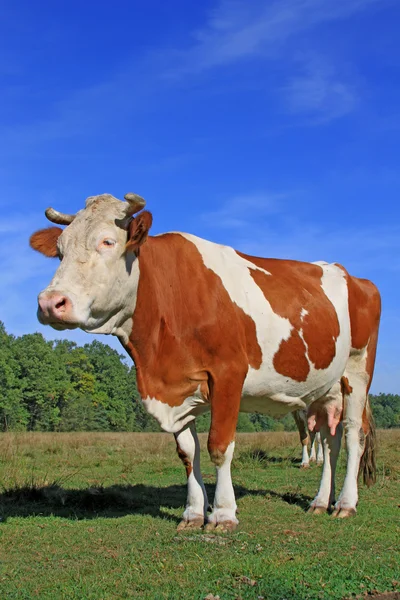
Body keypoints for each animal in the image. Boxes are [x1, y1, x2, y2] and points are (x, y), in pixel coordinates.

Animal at [29, 192, 380, 528]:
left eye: (107, 242)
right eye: (59, 251)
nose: (50, 302)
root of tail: (351, 275)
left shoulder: (229, 375)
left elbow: (219, 447)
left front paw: (223, 514)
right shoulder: (176, 386)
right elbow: (187, 452)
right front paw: (193, 513)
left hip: (357, 372)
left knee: (353, 435)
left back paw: (346, 504)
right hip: (325, 388)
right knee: (331, 440)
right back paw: (320, 502)